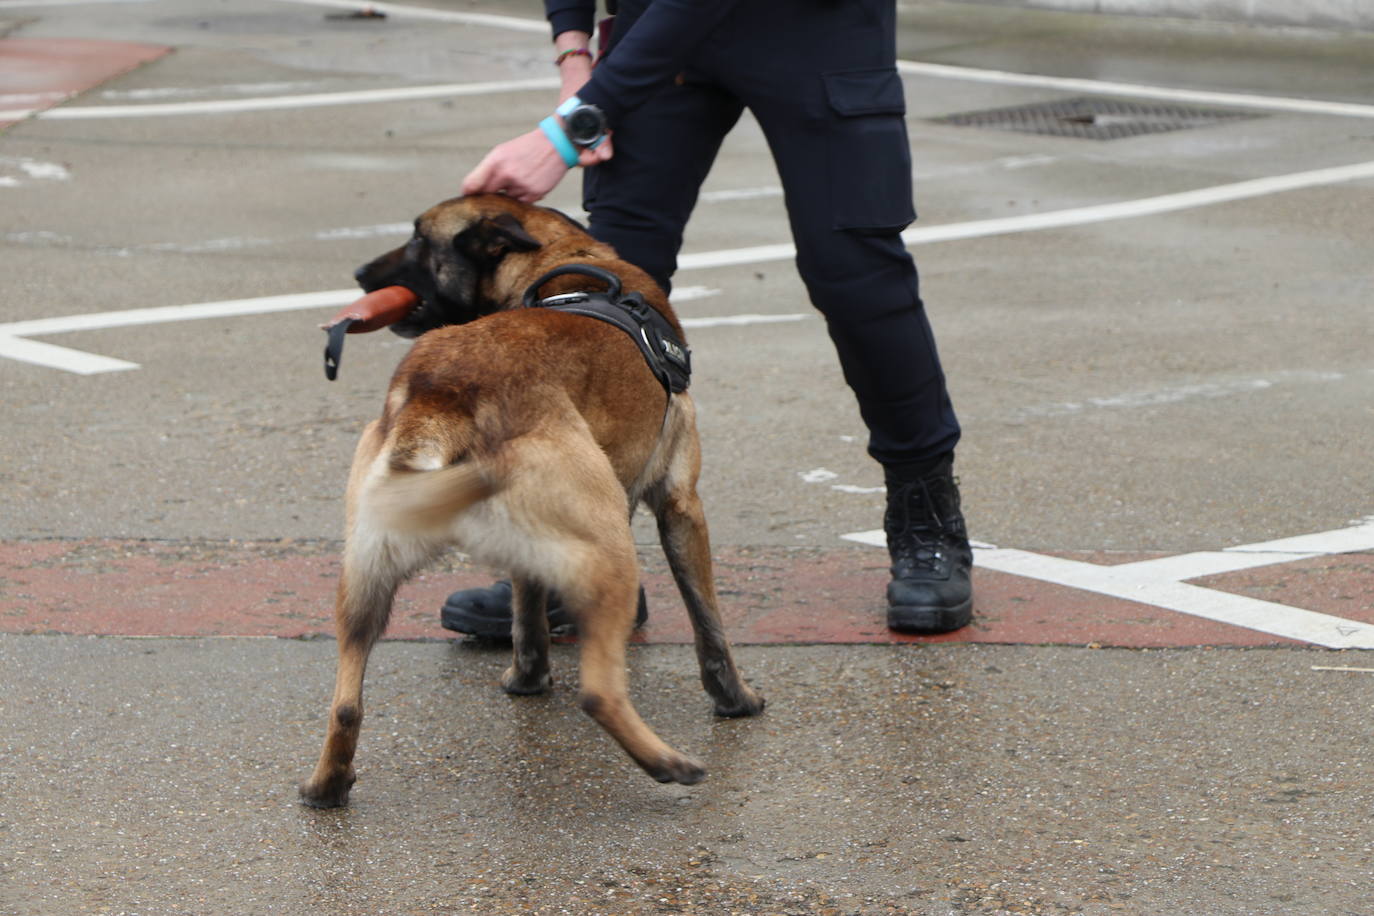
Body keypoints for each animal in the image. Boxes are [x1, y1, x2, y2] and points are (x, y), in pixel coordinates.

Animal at [302, 195, 769, 807]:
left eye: (420, 241)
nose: (360, 275)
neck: (564, 258)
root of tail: (440, 391)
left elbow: (527, 617)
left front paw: (527, 681)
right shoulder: (681, 506)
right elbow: (709, 626)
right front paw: (735, 699)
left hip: (364, 580)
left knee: (345, 703)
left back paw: (327, 784)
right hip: (611, 548)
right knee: (599, 693)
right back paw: (669, 764)